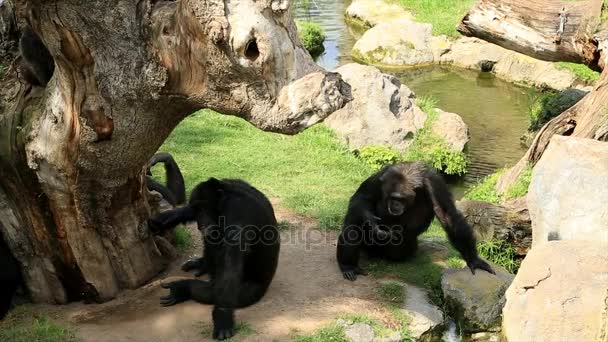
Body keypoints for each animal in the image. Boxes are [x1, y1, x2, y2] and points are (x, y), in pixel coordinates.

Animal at [147, 178, 280, 340]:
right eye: (198, 209)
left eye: (204, 208)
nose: (201, 221)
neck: (226, 198)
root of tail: (267, 284)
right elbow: (187, 209)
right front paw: (162, 219)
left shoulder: (236, 217)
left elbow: (230, 268)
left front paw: (223, 319)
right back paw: (199, 268)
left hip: (253, 290)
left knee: (213, 292)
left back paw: (182, 288)